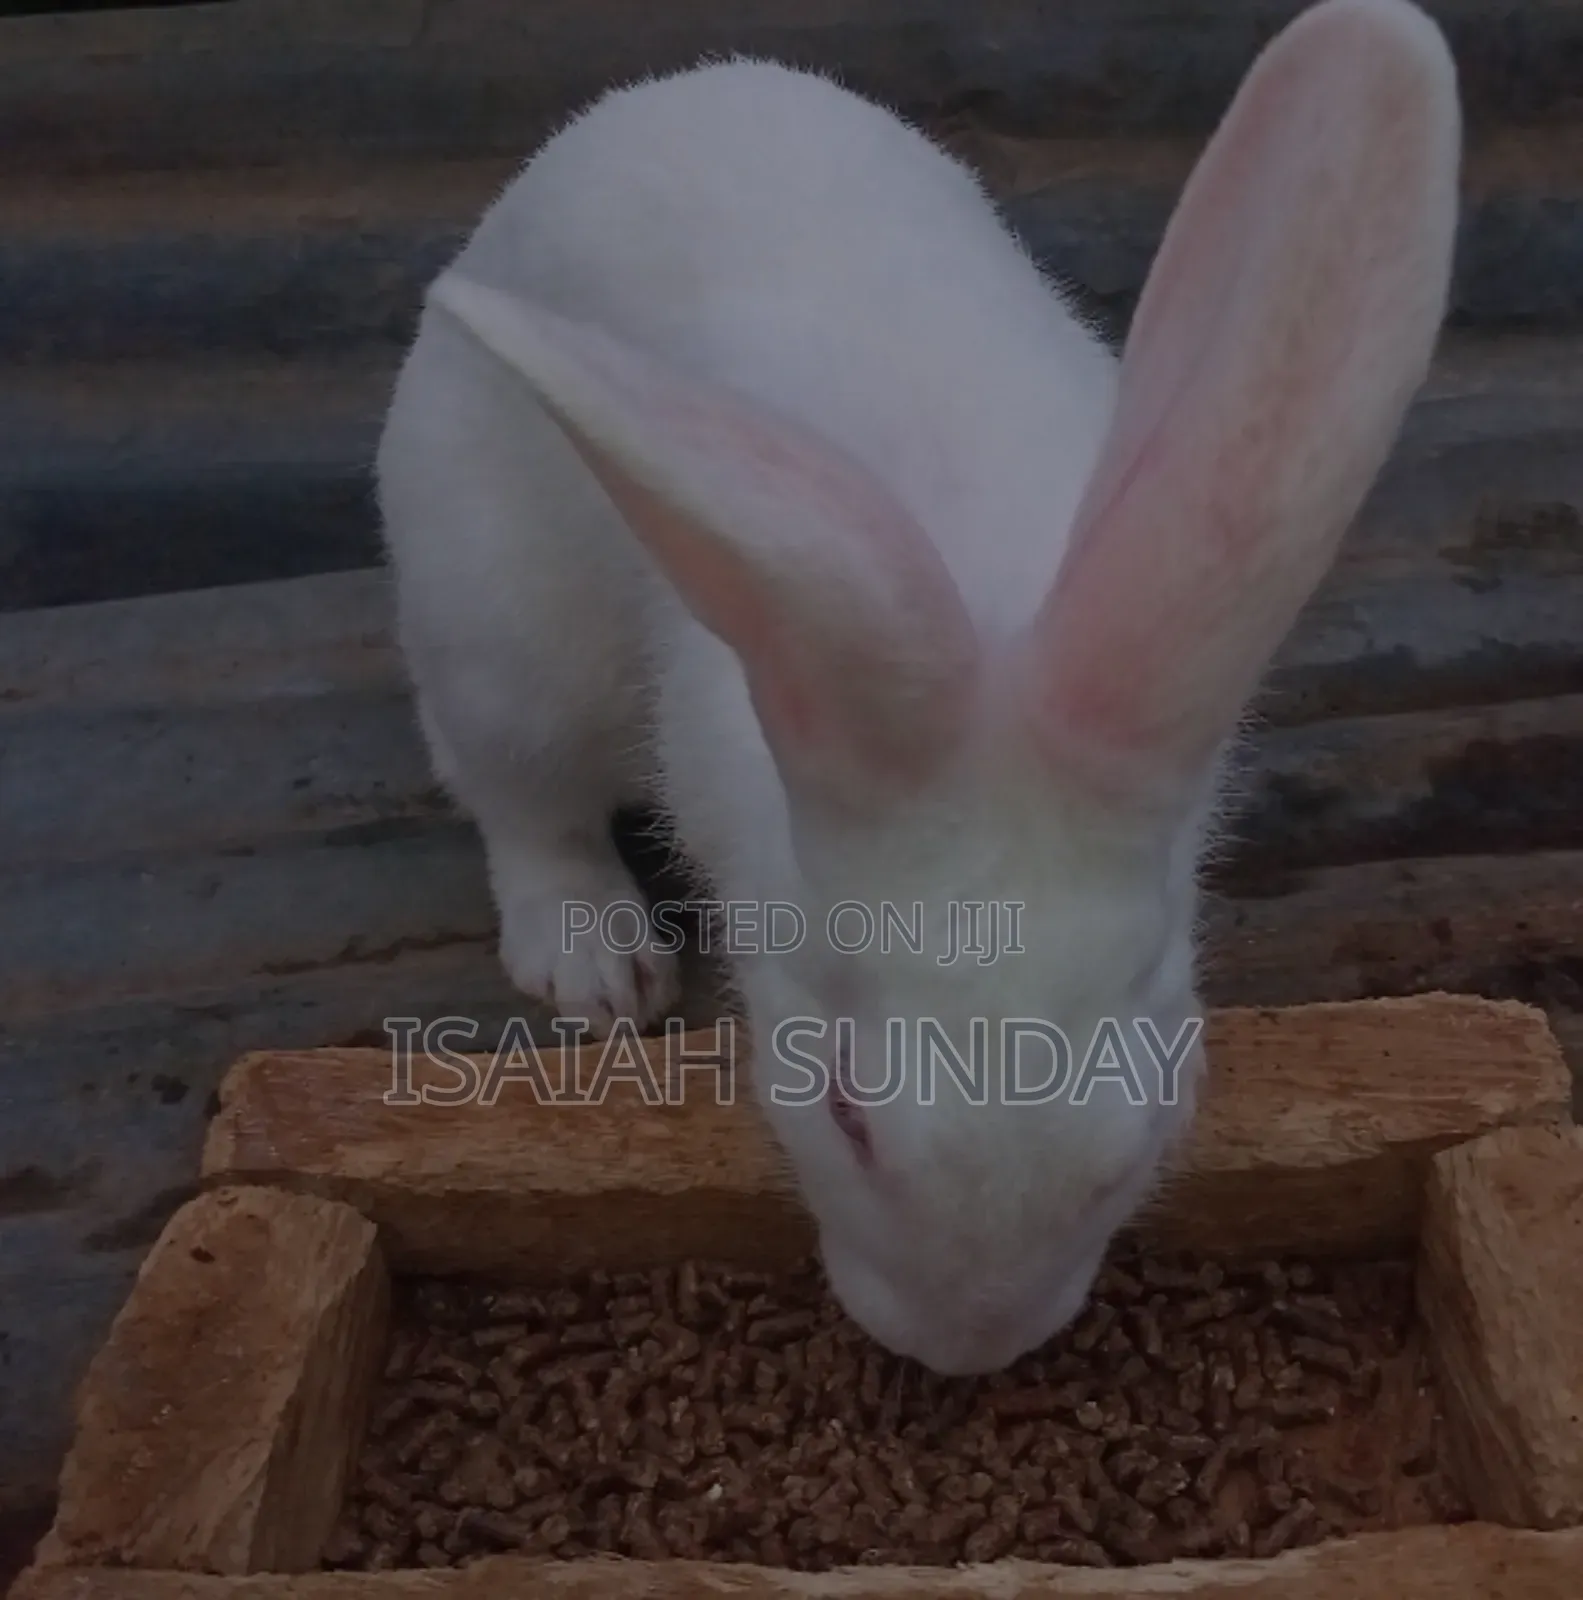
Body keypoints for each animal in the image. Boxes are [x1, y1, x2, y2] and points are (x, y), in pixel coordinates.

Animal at [376, 0, 1460, 1376]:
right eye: (845, 1109)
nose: (968, 1348)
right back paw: (598, 966)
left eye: (1147, 1112)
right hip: (497, 629)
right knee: (520, 797)